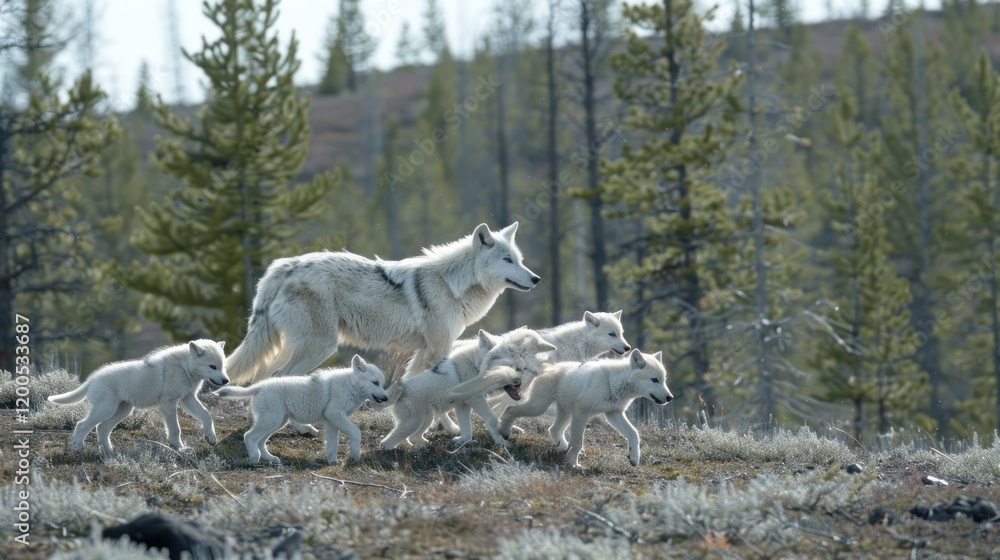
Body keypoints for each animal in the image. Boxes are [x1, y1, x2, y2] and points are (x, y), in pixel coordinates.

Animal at [48, 340, 229, 453]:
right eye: (212, 366)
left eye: (222, 367)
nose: (226, 380)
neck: (184, 367)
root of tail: (92, 378)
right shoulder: (169, 402)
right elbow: (175, 429)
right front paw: (179, 448)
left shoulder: (187, 398)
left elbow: (206, 415)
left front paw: (211, 438)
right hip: (106, 410)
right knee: (82, 425)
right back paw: (78, 450)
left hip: (122, 411)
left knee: (101, 428)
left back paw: (109, 452)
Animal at [215, 354, 387, 465]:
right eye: (375, 382)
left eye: (382, 384)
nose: (386, 398)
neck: (350, 385)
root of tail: (258, 387)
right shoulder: (335, 414)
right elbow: (356, 432)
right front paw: (356, 455)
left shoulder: (332, 421)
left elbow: (333, 444)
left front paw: (332, 462)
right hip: (273, 421)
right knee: (249, 436)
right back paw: (253, 459)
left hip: (277, 422)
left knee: (260, 441)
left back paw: (271, 459)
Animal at [226, 222, 539, 386]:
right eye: (507, 260)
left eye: (520, 259)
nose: (536, 278)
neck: (453, 284)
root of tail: (283, 267)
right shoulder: (439, 348)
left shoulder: (424, 351)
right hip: (321, 346)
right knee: (279, 376)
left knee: (264, 376)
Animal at [378, 329, 556, 450]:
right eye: (509, 367)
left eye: (522, 368)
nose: (519, 383)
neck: (476, 365)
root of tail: (394, 393)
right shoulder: (474, 399)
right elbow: (492, 418)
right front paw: (500, 441)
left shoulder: (462, 405)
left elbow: (467, 430)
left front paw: (461, 441)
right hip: (414, 422)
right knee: (386, 443)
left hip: (425, 420)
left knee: (414, 438)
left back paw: (425, 446)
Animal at [498, 349, 673, 469]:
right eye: (654, 380)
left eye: (664, 380)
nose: (670, 397)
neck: (613, 383)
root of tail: (547, 367)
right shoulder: (583, 413)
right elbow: (578, 442)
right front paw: (573, 465)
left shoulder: (614, 414)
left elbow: (634, 434)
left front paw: (634, 458)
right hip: (540, 407)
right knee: (510, 409)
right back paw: (504, 433)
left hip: (566, 414)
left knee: (553, 429)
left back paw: (561, 448)